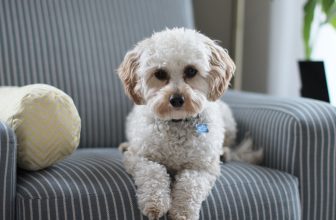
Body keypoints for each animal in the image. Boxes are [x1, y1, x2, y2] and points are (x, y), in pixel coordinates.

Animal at [117, 27, 262, 220]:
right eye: (160, 73)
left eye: (191, 71)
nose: (177, 99)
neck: (177, 122)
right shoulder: (140, 158)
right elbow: (154, 173)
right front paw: (155, 203)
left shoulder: (202, 167)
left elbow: (190, 185)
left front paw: (182, 211)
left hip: (228, 123)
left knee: (228, 144)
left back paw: (224, 152)